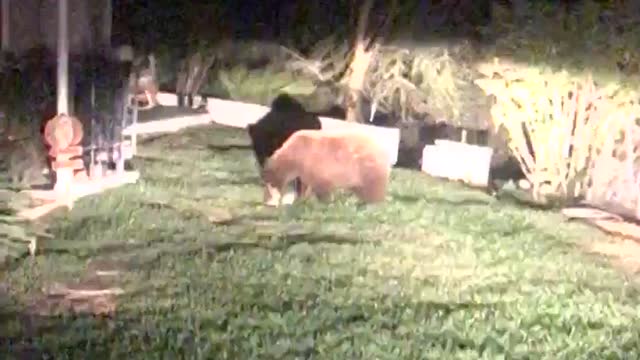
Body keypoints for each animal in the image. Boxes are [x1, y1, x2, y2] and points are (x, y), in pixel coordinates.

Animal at [262, 129, 390, 207]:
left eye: (270, 183)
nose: (267, 201)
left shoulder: (316, 163)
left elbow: (322, 186)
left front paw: (325, 203)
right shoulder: (305, 170)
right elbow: (305, 185)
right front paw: (301, 200)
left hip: (366, 168)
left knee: (373, 190)